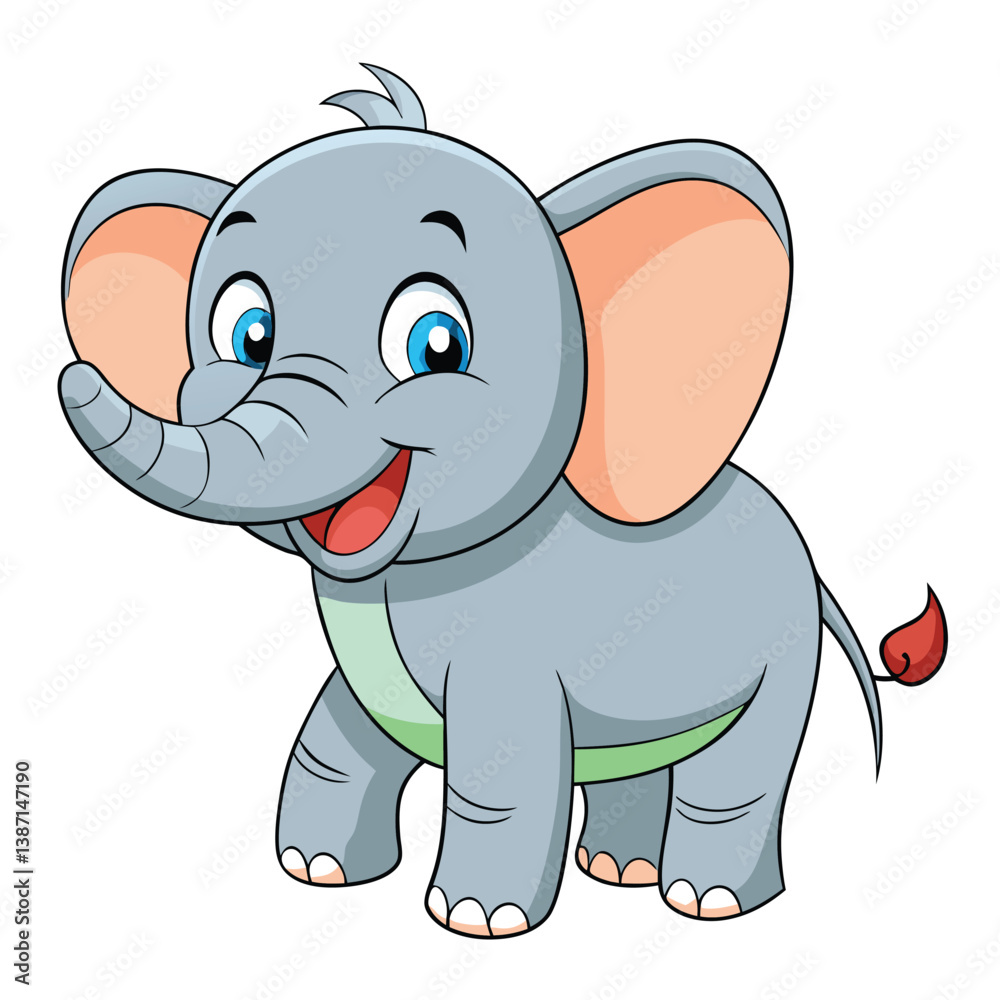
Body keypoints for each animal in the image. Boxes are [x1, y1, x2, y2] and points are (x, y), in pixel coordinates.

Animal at [59, 65, 947, 938]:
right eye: (247, 333)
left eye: (435, 344)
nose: (71, 375)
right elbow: (337, 736)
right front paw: (318, 872)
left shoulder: (509, 652)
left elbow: (499, 766)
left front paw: (477, 921)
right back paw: (619, 870)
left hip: (783, 651)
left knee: (738, 772)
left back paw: (707, 902)